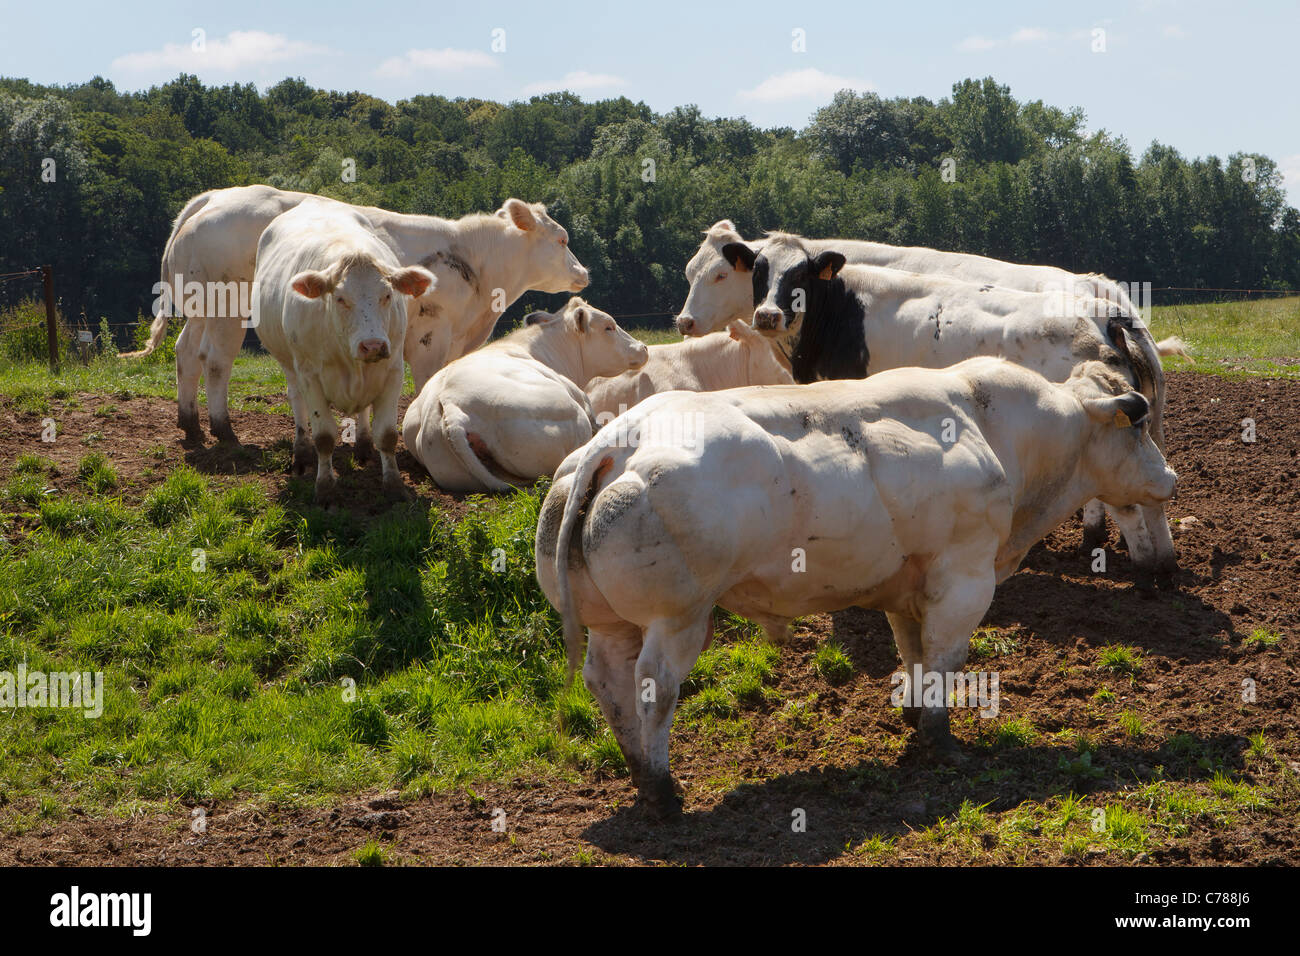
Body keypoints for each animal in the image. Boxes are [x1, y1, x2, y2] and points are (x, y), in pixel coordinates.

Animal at [128, 184, 590, 450]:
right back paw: (224, 430)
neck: (473, 262)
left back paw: (190, 424)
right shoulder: (429, 338)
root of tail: (211, 199)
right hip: (226, 308)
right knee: (215, 361)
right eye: (561, 238)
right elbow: (425, 385)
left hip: (199, 308)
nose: (583, 273)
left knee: (186, 354)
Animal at [252, 199, 436, 504]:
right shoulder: (310, 375)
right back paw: (301, 455)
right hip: (289, 364)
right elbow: (324, 437)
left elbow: (387, 435)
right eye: (340, 298)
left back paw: (362, 446)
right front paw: (325, 490)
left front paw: (394, 487)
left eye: (387, 295)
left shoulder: (393, 371)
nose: (372, 345)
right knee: (297, 402)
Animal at [538, 356, 1180, 816]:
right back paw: (664, 791)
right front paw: (941, 741)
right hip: (678, 618)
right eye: (1138, 424)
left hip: (614, 623)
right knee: (654, 687)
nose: (1171, 478)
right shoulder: (964, 576)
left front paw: (915, 714)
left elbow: (914, 654)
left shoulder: (908, 587)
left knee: (607, 682)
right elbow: (945, 657)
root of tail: (619, 439)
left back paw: (638, 772)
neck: (996, 431)